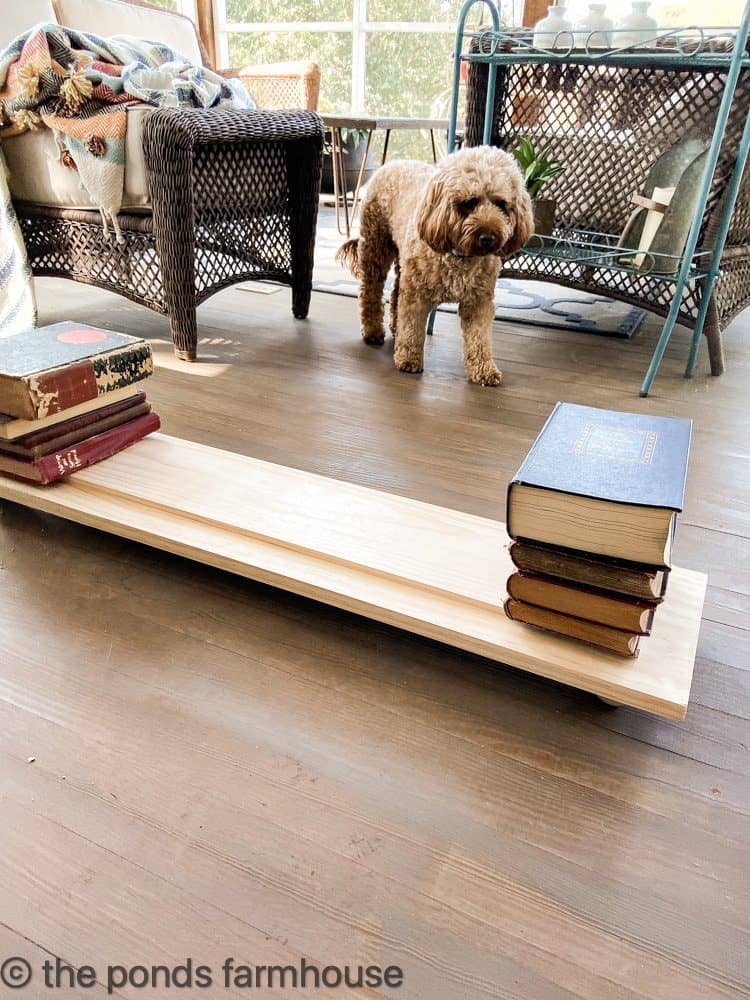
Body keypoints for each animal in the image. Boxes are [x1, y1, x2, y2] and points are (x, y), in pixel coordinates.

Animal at [334, 146, 536, 384]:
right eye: (469, 202)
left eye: (501, 204)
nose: (488, 238)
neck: (460, 256)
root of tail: (393, 162)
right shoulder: (416, 296)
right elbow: (412, 327)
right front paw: (409, 360)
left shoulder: (479, 302)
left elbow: (479, 337)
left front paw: (484, 370)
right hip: (376, 248)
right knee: (371, 291)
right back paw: (373, 331)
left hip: (403, 262)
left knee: (395, 294)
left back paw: (395, 327)